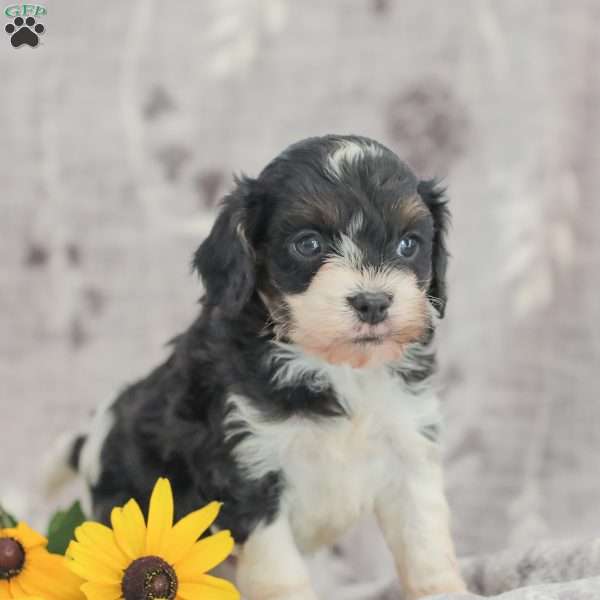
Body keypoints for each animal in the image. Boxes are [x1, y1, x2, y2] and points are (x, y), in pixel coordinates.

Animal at [68, 136, 466, 600]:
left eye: (408, 244)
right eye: (308, 244)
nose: (373, 302)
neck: (334, 366)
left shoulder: (407, 444)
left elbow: (424, 538)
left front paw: (445, 591)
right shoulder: (246, 468)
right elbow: (280, 569)